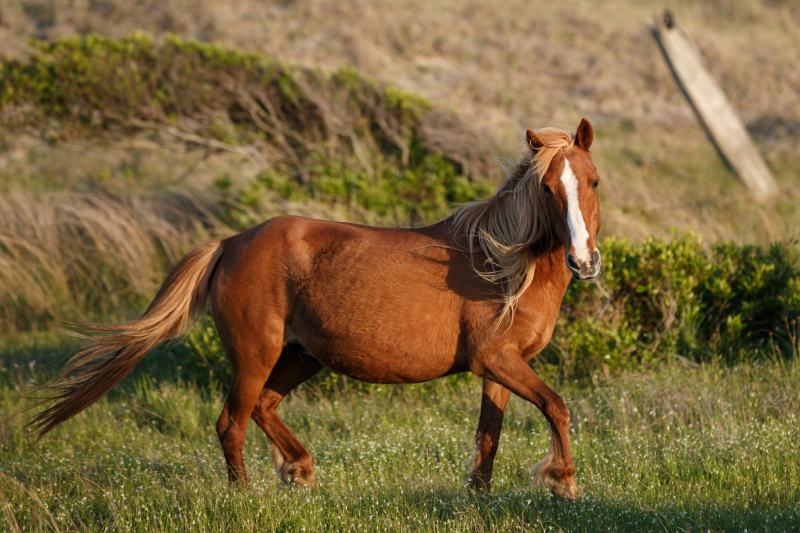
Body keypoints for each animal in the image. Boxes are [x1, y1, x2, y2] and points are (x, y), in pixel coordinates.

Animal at [34, 117, 604, 498]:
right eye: (547, 187)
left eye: (593, 181)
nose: (584, 260)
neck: (503, 266)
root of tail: (231, 243)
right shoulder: (497, 360)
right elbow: (557, 405)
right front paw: (564, 484)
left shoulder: (499, 368)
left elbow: (489, 435)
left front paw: (478, 497)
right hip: (256, 354)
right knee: (231, 421)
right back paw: (244, 497)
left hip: (301, 356)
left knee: (262, 408)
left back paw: (300, 469)